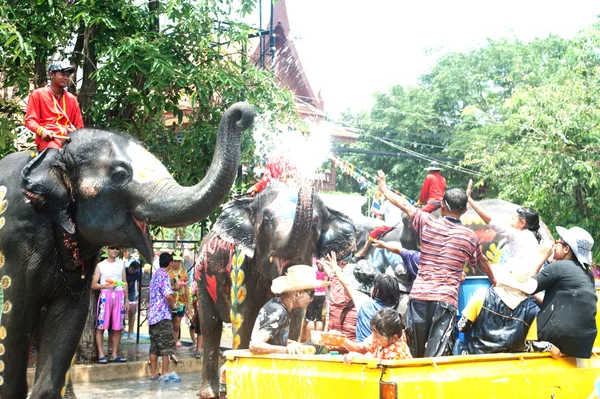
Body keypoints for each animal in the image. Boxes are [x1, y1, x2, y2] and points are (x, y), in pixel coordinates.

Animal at [0, 101, 255, 398]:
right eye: (121, 175)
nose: (243, 114)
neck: (56, 155)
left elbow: (68, 321)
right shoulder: (12, 242)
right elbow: (11, 323)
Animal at [196, 183, 356, 398]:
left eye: (315, 225)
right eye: (266, 220)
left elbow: (296, 318)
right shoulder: (241, 263)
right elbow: (244, 318)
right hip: (201, 279)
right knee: (210, 325)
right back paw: (210, 393)